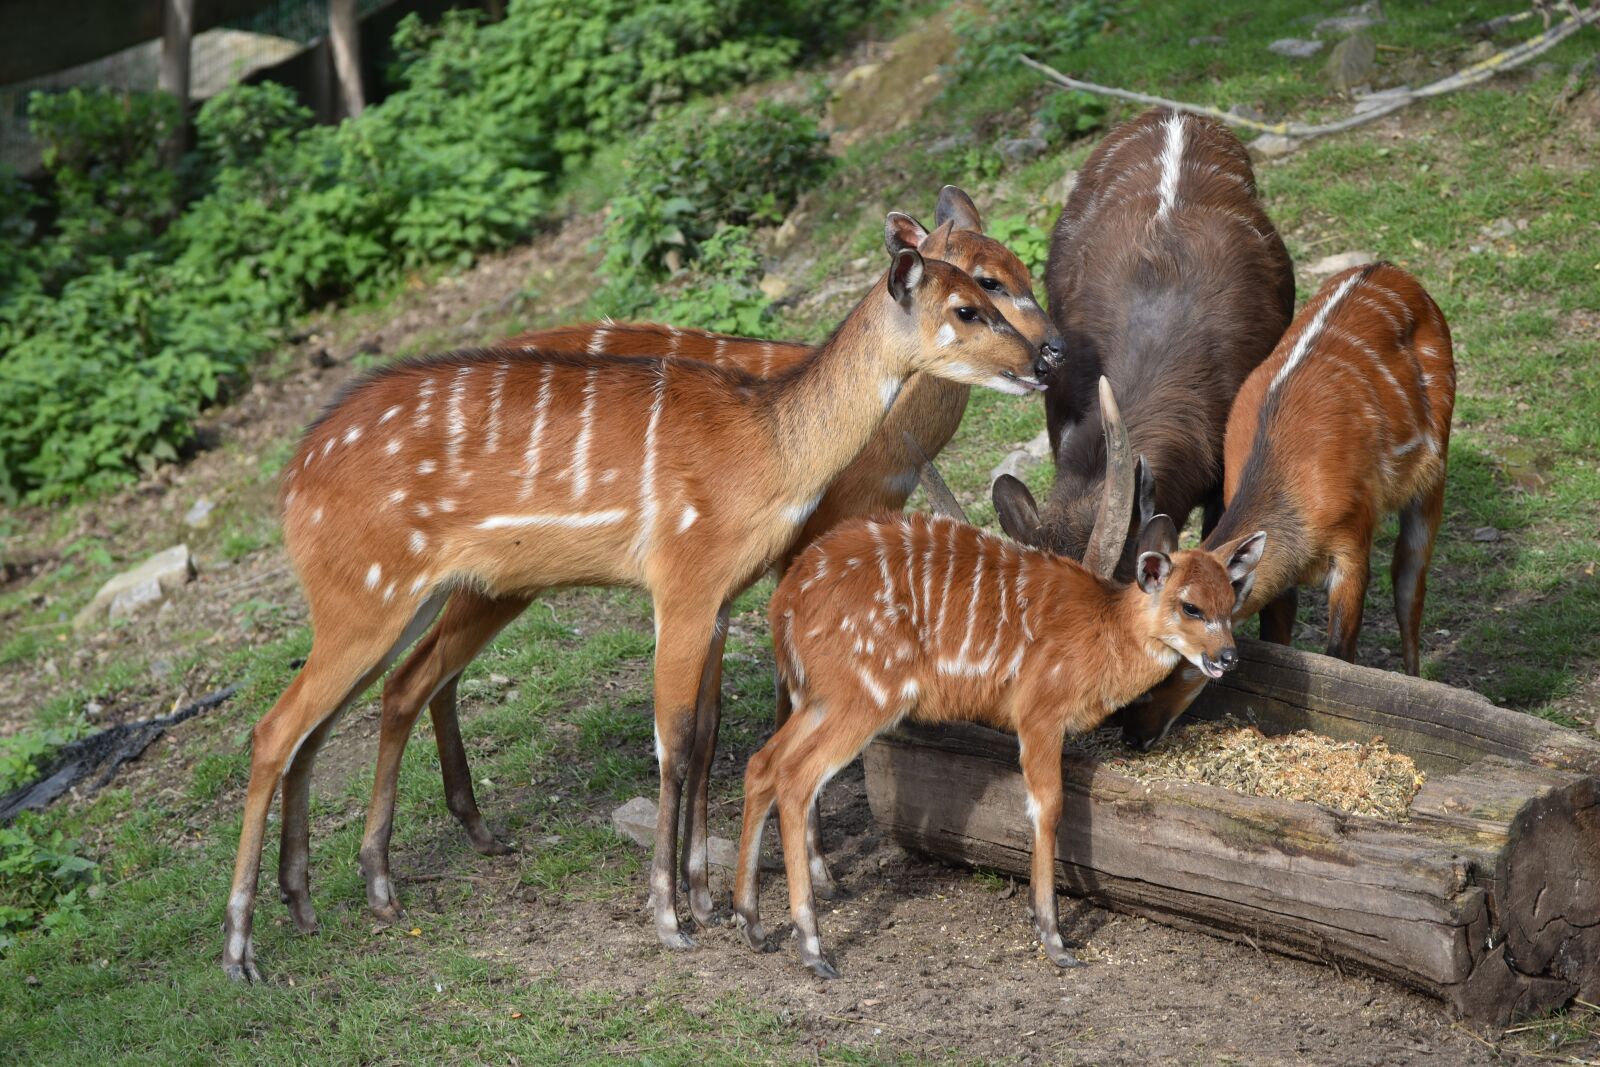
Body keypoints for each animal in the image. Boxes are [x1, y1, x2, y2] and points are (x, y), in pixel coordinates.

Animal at [732, 379, 1267, 979]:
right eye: (1190, 606)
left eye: (1230, 600)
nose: (1227, 657)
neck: (1101, 628)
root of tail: (784, 604)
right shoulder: (1037, 716)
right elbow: (1047, 807)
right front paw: (1054, 938)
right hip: (861, 701)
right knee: (796, 780)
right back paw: (812, 946)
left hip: (817, 699)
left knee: (763, 764)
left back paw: (752, 923)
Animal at [1120, 265, 1459, 751]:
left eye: (1168, 664)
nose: (1131, 735)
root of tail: (1391, 270)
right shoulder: (1279, 575)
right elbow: (1278, 642)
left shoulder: (1353, 545)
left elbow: (1340, 655)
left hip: (1435, 470)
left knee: (1409, 580)